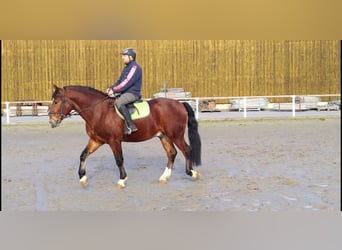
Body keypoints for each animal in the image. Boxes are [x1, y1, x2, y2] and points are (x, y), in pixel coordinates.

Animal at [49, 85, 202, 188]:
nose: (51, 121)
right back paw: (164, 177)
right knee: (172, 153)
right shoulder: (96, 140)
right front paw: (83, 178)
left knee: (186, 150)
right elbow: (83, 155)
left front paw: (122, 180)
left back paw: (192, 173)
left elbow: (119, 160)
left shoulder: (114, 141)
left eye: (56, 102)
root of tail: (180, 103)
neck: (99, 111)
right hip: (163, 136)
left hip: (176, 135)